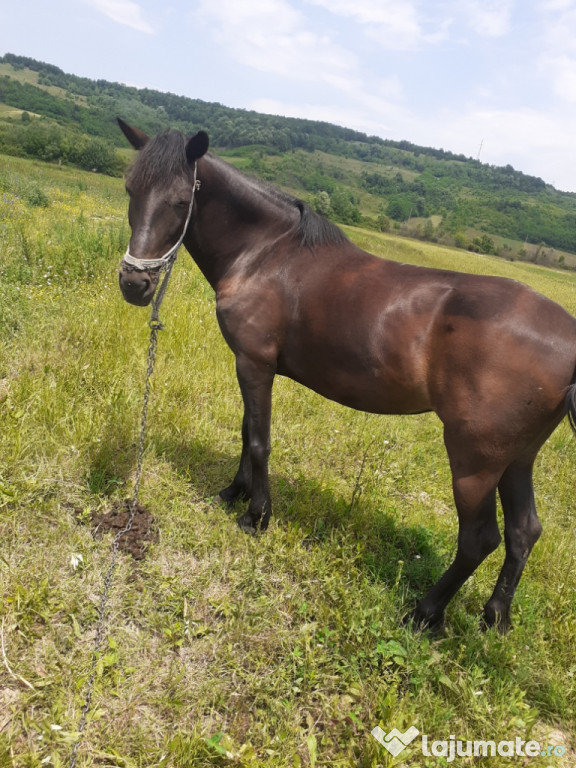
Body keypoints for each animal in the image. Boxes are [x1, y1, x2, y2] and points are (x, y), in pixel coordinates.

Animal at [116, 120, 576, 632]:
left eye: (181, 201)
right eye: (130, 188)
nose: (134, 283)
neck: (265, 255)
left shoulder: (254, 363)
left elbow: (258, 440)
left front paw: (256, 515)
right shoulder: (251, 365)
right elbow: (245, 430)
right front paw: (234, 492)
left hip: (475, 458)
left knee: (479, 539)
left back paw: (424, 614)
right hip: (518, 457)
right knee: (523, 531)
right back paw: (494, 618)